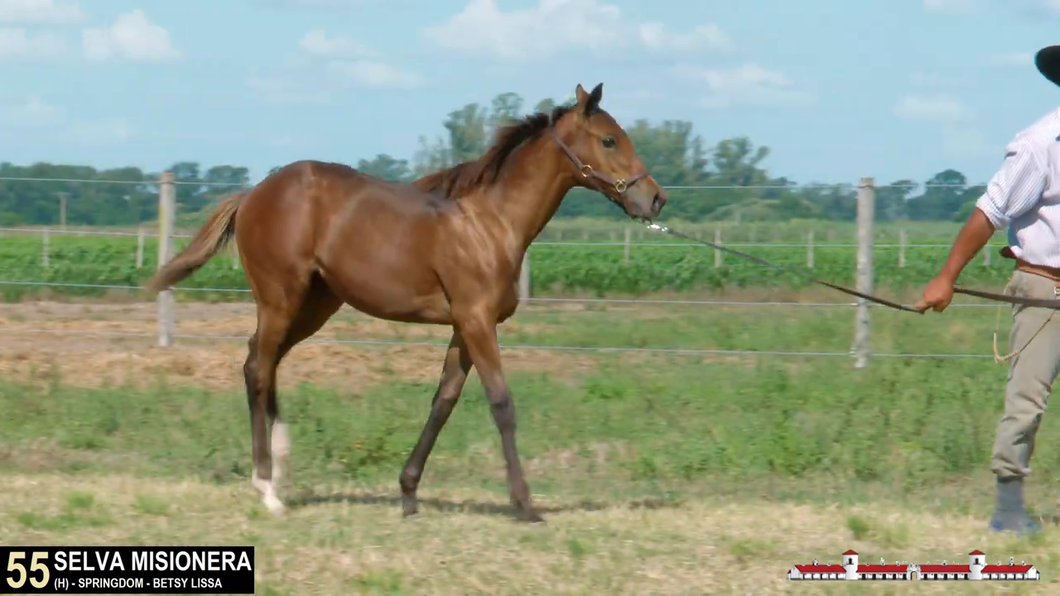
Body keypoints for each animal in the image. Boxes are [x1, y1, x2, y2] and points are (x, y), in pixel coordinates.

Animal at [145, 83, 665, 519]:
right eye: (609, 140)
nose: (655, 199)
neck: (491, 223)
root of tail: (253, 192)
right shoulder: (478, 322)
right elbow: (501, 403)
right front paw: (525, 503)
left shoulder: (464, 327)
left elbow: (443, 401)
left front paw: (409, 493)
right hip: (280, 299)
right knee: (257, 367)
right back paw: (267, 488)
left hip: (314, 306)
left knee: (263, 361)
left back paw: (282, 467)